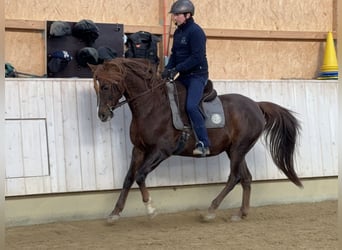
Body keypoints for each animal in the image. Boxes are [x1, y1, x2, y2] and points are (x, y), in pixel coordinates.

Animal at [89, 58, 304, 223]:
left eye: (106, 86)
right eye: (97, 87)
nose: (102, 115)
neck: (152, 106)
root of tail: (256, 105)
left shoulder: (161, 150)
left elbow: (140, 175)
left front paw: (150, 209)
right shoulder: (139, 149)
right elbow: (128, 178)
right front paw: (115, 213)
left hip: (238, 149)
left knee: (234, 177)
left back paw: (211, 211)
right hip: (235, 150)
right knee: (246, 178)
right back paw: (241, 213)